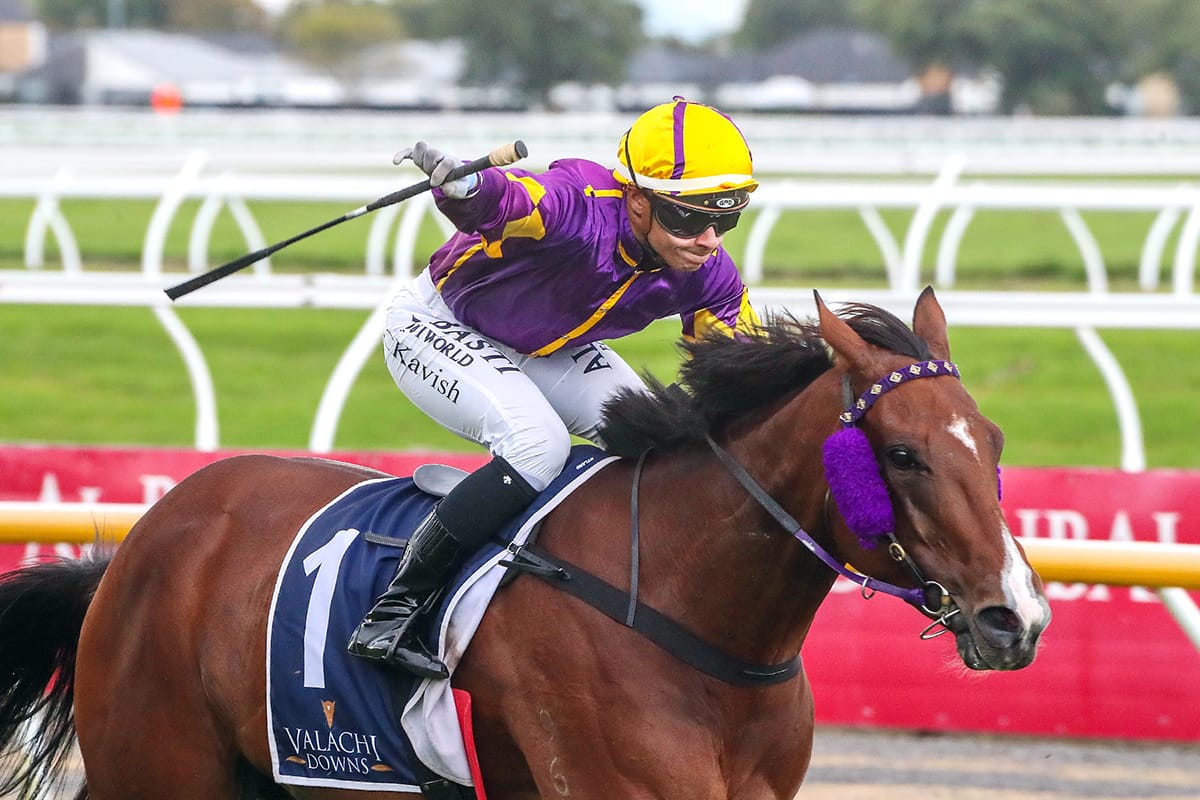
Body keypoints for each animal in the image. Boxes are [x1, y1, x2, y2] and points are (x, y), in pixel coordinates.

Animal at [0, 288, 1050, 800]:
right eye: (904, 455)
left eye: (996, 442)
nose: (1019, 619)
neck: (684, 607)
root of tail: (145, 538)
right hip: (161, 768)